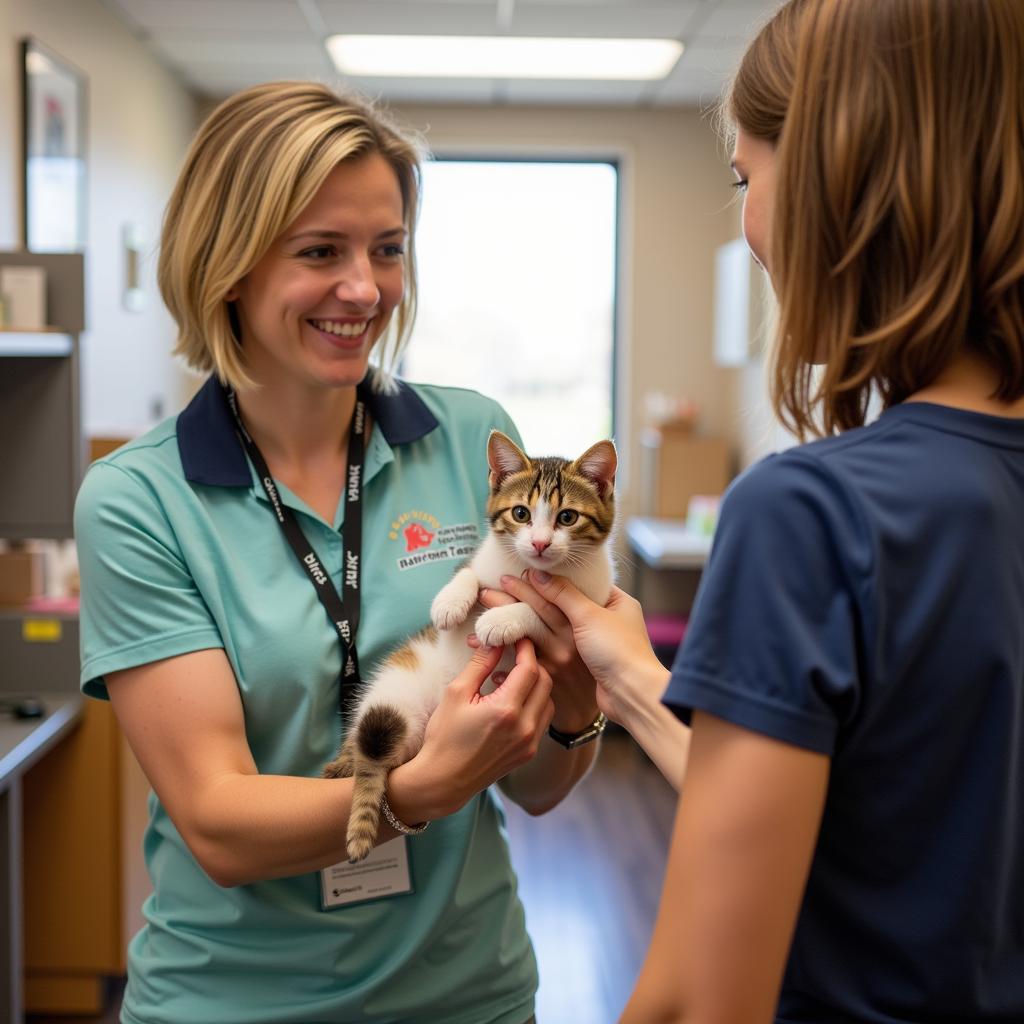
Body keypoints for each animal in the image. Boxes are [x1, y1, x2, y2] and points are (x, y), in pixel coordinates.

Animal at [323, 428, 614, 860]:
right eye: (521, 514)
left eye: (567, 517)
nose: (540, 544)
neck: (529, 568)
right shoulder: (484, 561)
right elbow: (469, 572)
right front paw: (450, 601)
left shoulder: (589, 604)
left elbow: (538, 610)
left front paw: (500, 619)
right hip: (398, 694)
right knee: (371, 754)